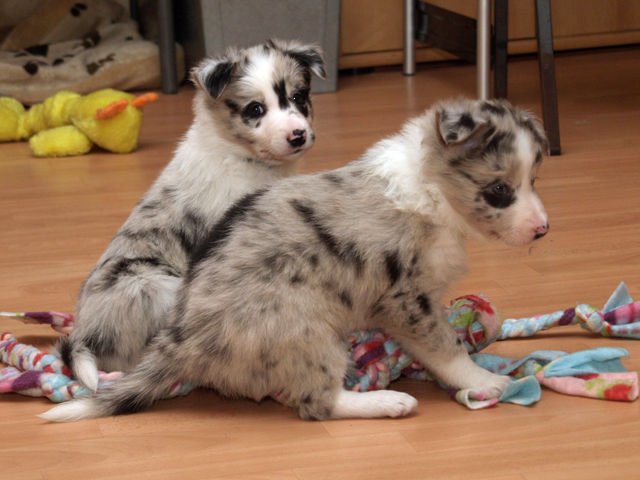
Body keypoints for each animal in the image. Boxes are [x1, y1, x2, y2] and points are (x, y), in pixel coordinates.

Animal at [42, 97, 549, 422]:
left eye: (534, 180)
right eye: (499, 190)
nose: (543, 230)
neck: (430, 186)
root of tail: (182, 341)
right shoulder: (405, 300)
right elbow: (445, 348)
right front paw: (485, 380)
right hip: (308, 330)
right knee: (317, 405)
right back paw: (388, 402)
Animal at [56, 39, 326, 392]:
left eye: (298, 97)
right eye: (255, 109)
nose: (297, 135)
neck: (241, 156)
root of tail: (82, 336)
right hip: (158, 287)